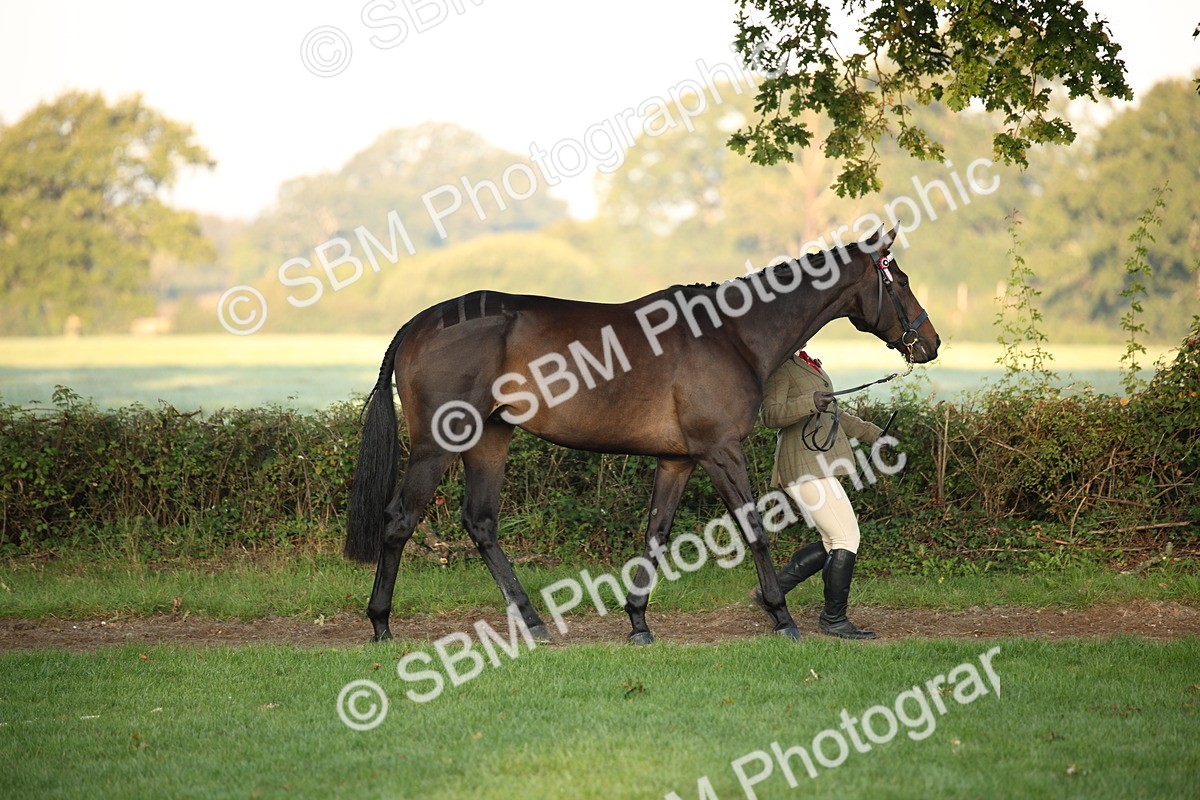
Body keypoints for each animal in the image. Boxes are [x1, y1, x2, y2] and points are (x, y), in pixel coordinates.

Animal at [345, 226, 939, 643]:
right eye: (902, 281)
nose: (930, 342)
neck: (730, 333)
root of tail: (419, 322)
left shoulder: (677, 460)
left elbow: (656, 534)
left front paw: (638, 621)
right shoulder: (721, 452)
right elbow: (755, 530)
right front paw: (782, 616)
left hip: (491, 438)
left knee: (482, 523)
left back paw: (534, 622)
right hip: (439, 445)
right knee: (399, 520)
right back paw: (381, 623)